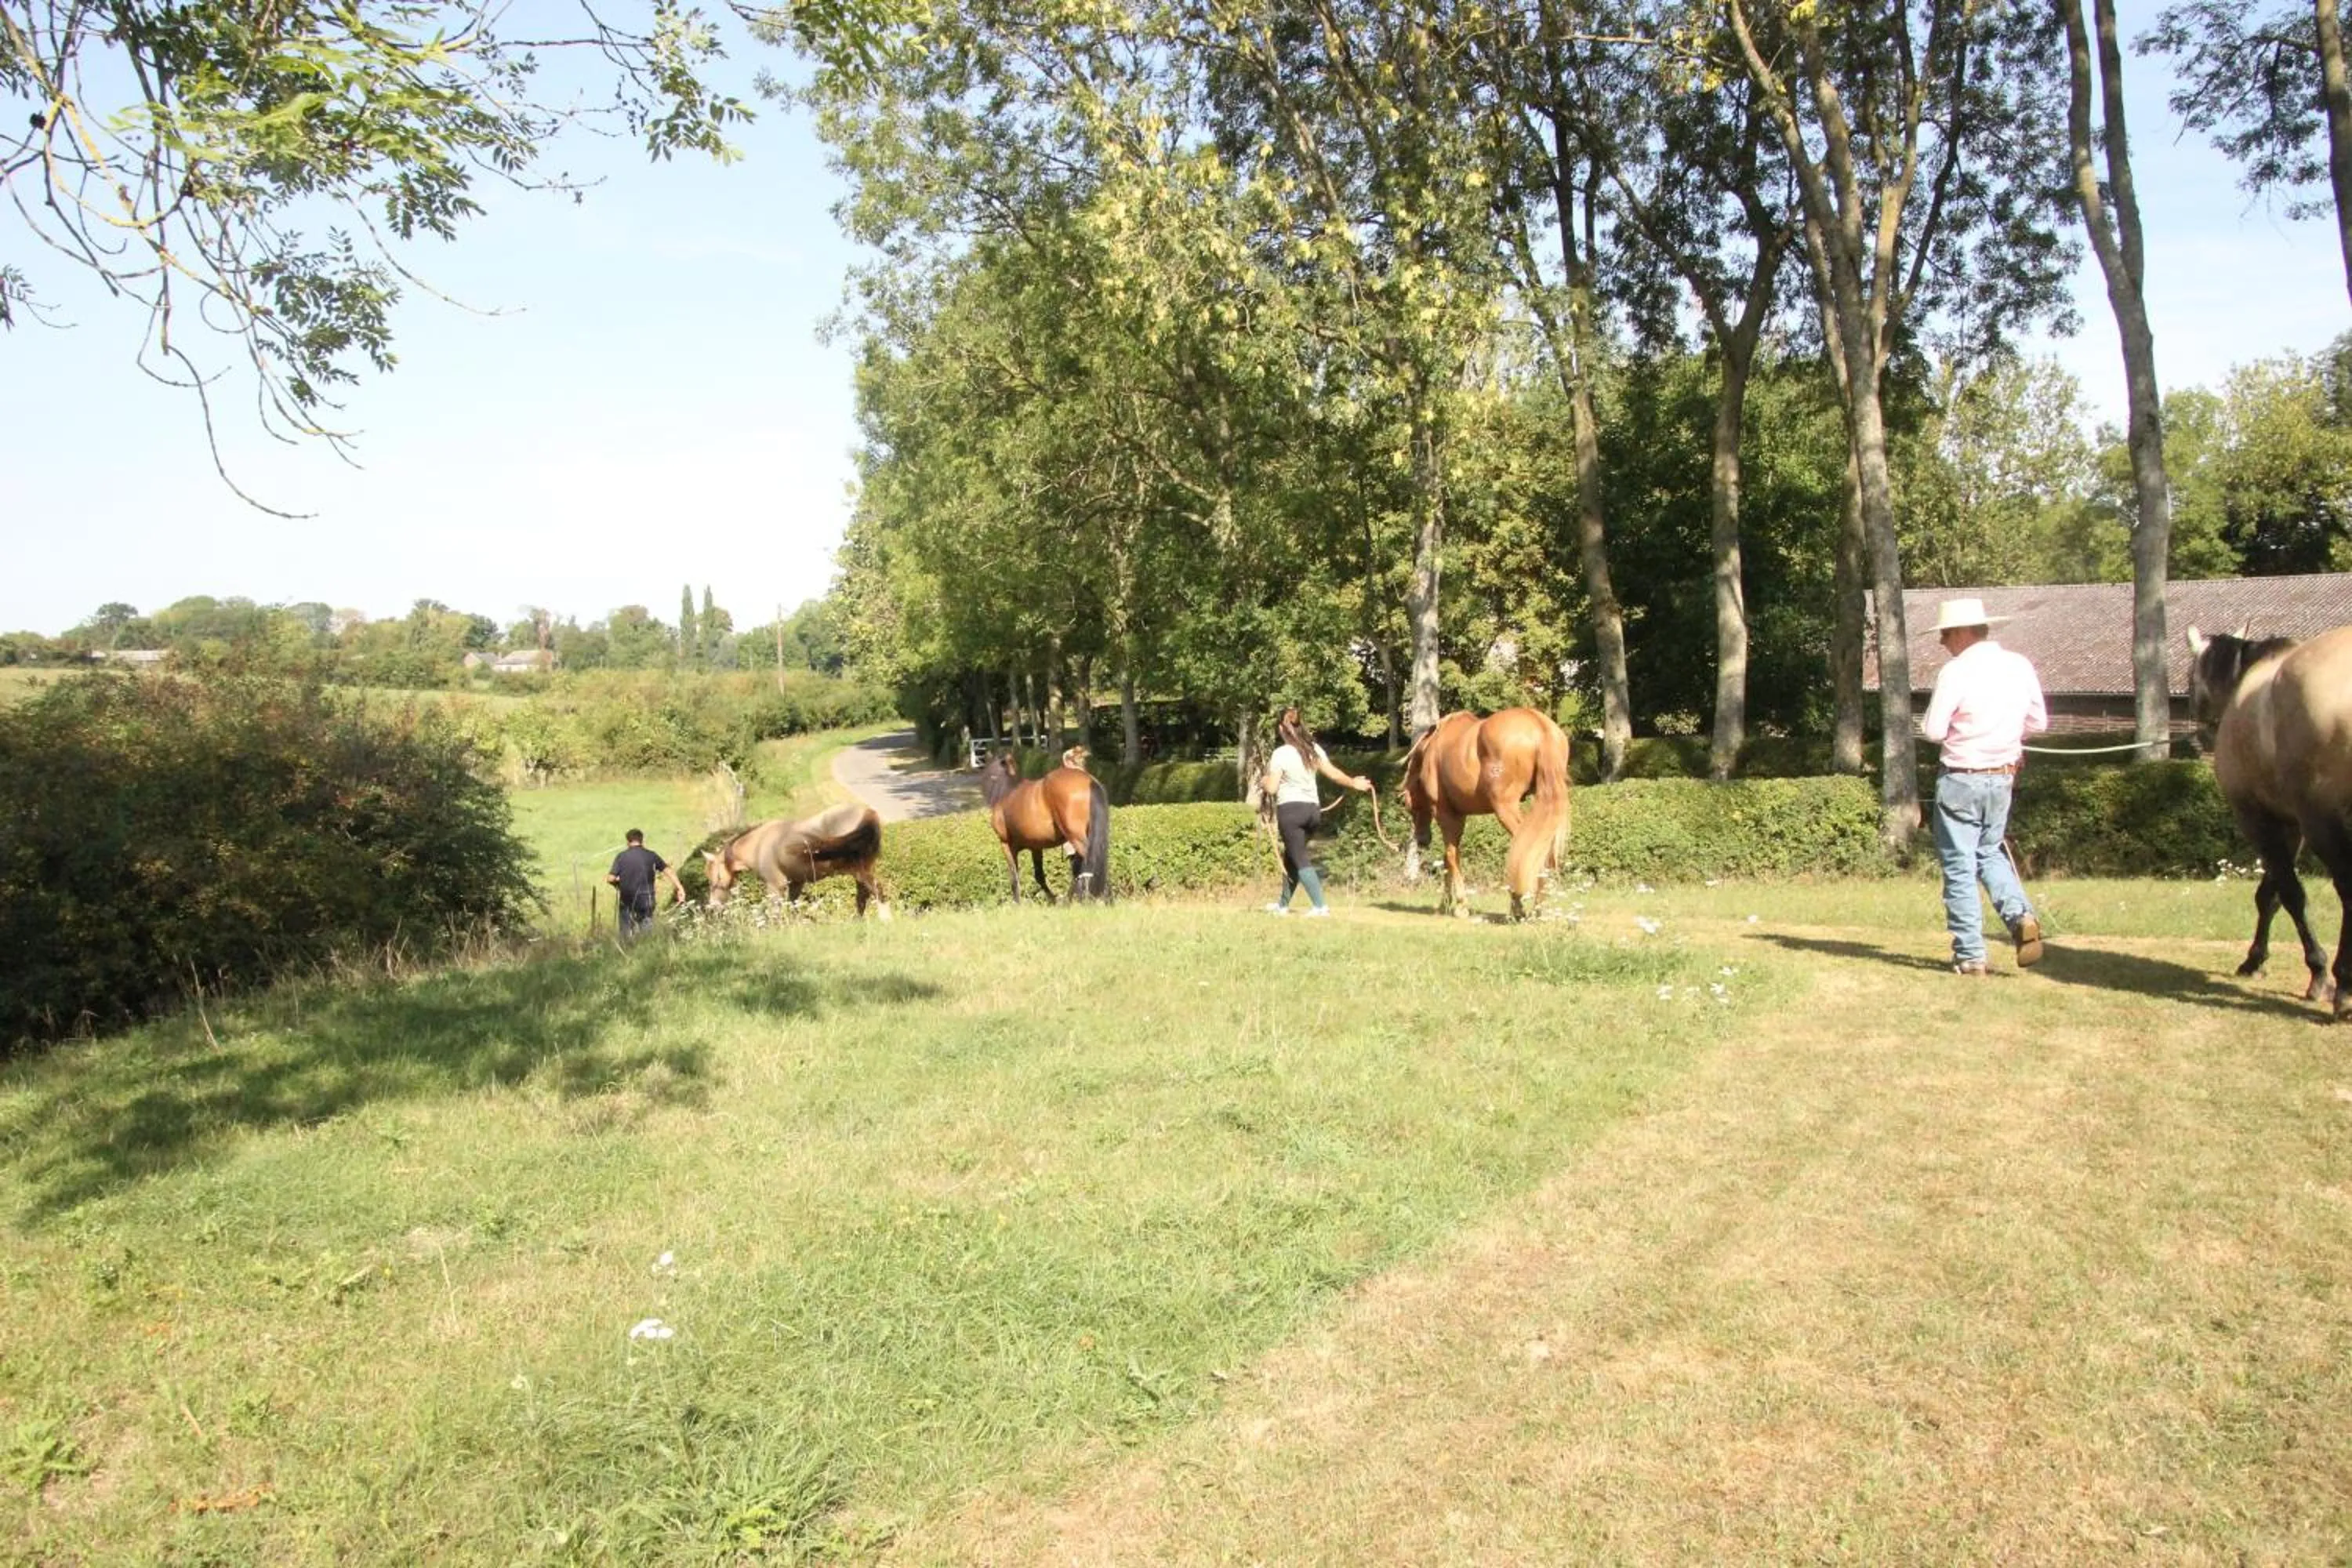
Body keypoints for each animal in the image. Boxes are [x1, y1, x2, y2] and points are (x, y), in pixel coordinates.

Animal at [704, 802, 890, 920]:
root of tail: (866, 811)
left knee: (877, 890)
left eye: (715, 877)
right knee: (863, 896)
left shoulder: (775, 886)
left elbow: (775, 911)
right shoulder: (796, 883)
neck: (760, 843)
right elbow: (792, 906)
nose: (713, 906)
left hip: (859, 870)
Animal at [978, 750, 1112, 902]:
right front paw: (1053, 899)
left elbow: (1014, 877)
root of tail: (1089, 781)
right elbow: (1039, 876)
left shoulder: (1006, 844)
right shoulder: (1036, 847)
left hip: (1077, 838)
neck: (1006, 791)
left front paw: (1018, 902)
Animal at [1401, 707, 1572, 921]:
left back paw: (1520, 907)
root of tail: (1539, 725)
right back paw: (1535, 910)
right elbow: (1449, 859)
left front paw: (1460, 905)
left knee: (1526, 850)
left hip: (1506, 809)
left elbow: (1451, 856)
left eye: (1409, 806)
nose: (1422, 839)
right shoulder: (1459, 817)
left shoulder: (1447, 815)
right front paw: (1445, 905)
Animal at [2187, 623, 2352, 1019]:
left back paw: (2344, 988)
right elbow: (2270, 895)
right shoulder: (2289, 827)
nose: (2200, 736)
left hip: (2323, 824)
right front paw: (2254, 961)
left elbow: (2290, 894)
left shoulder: (2259, 820)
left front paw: (2319, 973)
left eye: (2189, 679)